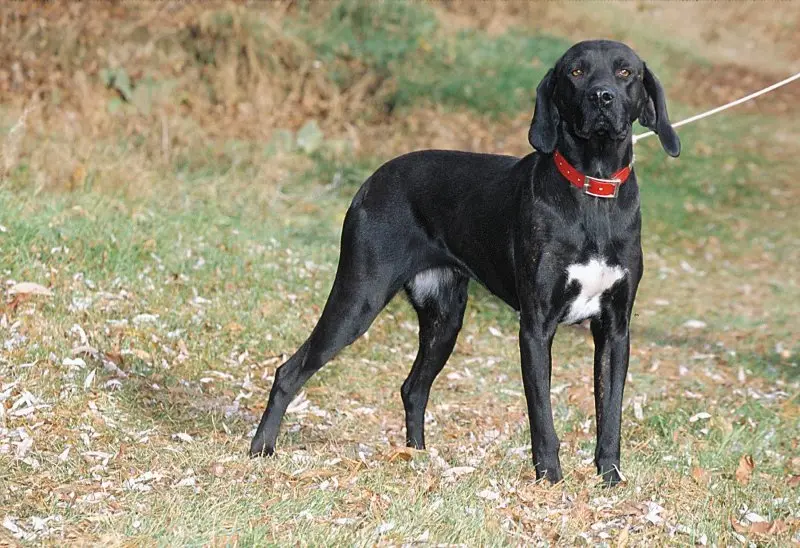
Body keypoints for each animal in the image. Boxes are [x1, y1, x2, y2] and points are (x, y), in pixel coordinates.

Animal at [253, 39, 680, 484]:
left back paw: (417, 457)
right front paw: (550, 479)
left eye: (625, 72)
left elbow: (610, 413)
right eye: (576, 72)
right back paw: (261, 449)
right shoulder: (536, 326)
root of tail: (371, 181)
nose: (602, 97)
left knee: (413, 387)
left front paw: (610, 477)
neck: (593, 190)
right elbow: (542, 416)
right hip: (358, 298)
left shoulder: (615, 328)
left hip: (445, 318)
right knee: (289, 371)